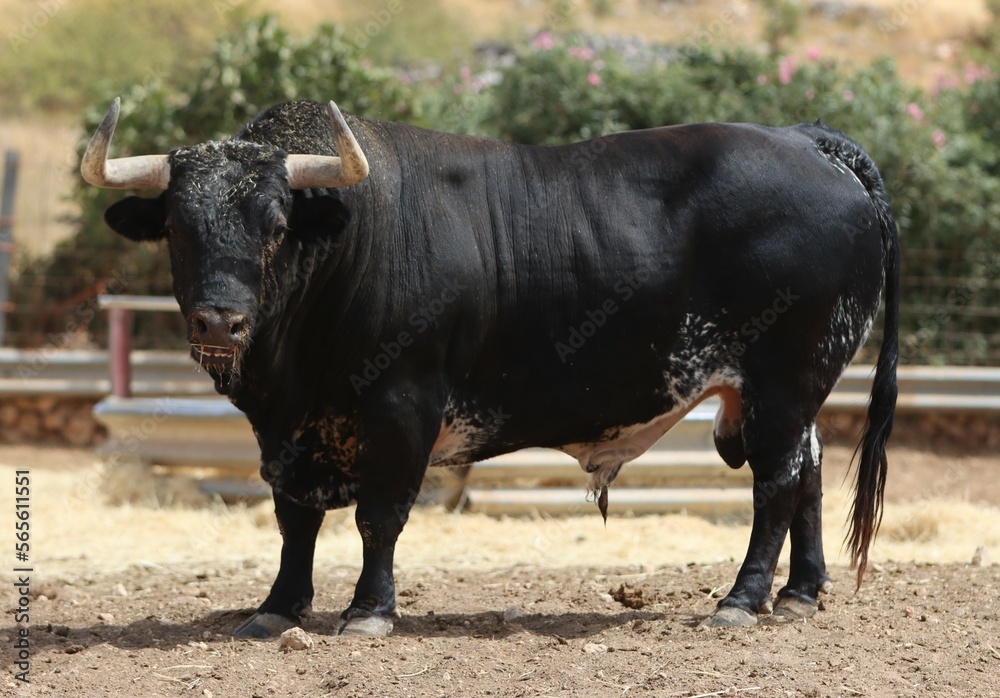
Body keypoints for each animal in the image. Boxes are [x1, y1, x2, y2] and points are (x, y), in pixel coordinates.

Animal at [86, 99, 900, 636]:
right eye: (177, 230)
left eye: (277, 225)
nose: (219, 321)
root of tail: (803, 139)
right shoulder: (286, 428)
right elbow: (295, 517)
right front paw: (278, 608)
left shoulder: (403, 405)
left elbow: (381, 515)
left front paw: (368, 612)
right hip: (793, 392)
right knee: (810, 469)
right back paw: (801, 593)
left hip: (783, 380)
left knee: (777, 483)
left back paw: (742, 600)